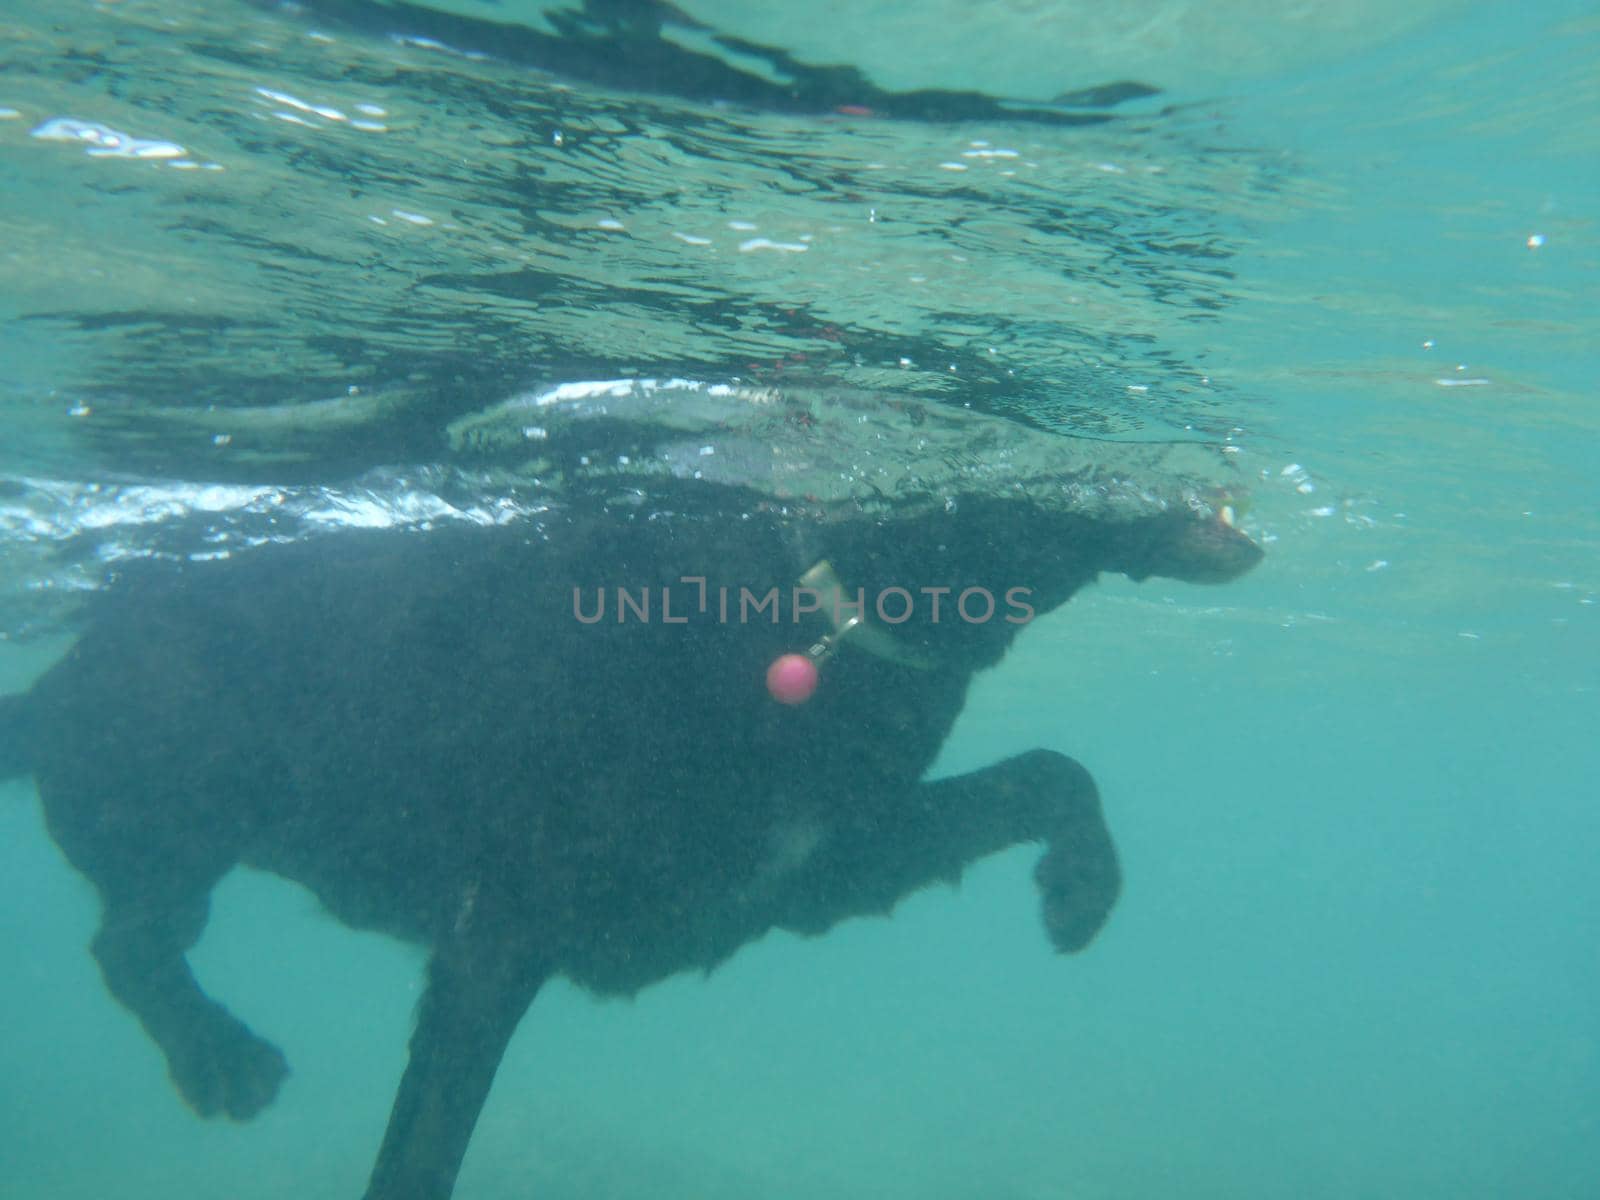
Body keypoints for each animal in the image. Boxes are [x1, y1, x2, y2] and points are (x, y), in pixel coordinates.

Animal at [0, 483, 1254, 1200]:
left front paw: (1080, 887)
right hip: (176, 795)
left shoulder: (817, 873)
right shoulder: (494, 943)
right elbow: (422, 1149)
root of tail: (48, 685)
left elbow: (1051, 772)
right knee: (128, 941)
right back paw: (217, 1055)